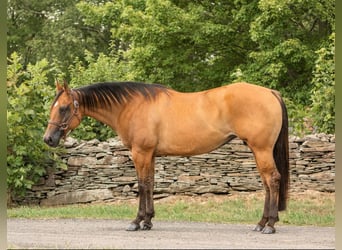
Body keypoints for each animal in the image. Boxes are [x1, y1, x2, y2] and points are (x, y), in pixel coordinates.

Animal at [42, 80, 288, 234]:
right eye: (52, 107)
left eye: (63, 108)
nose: (48, 139)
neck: (131, 106)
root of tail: (271, 93)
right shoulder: (150, 154)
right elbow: (150, 184)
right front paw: (148, 220)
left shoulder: (140, 153)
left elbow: (142, 185)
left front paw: (136, 221)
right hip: (259, 151)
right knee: (267, 184)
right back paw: (262, 222)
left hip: (261, 149)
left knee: (273, 180)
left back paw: (269, 225)